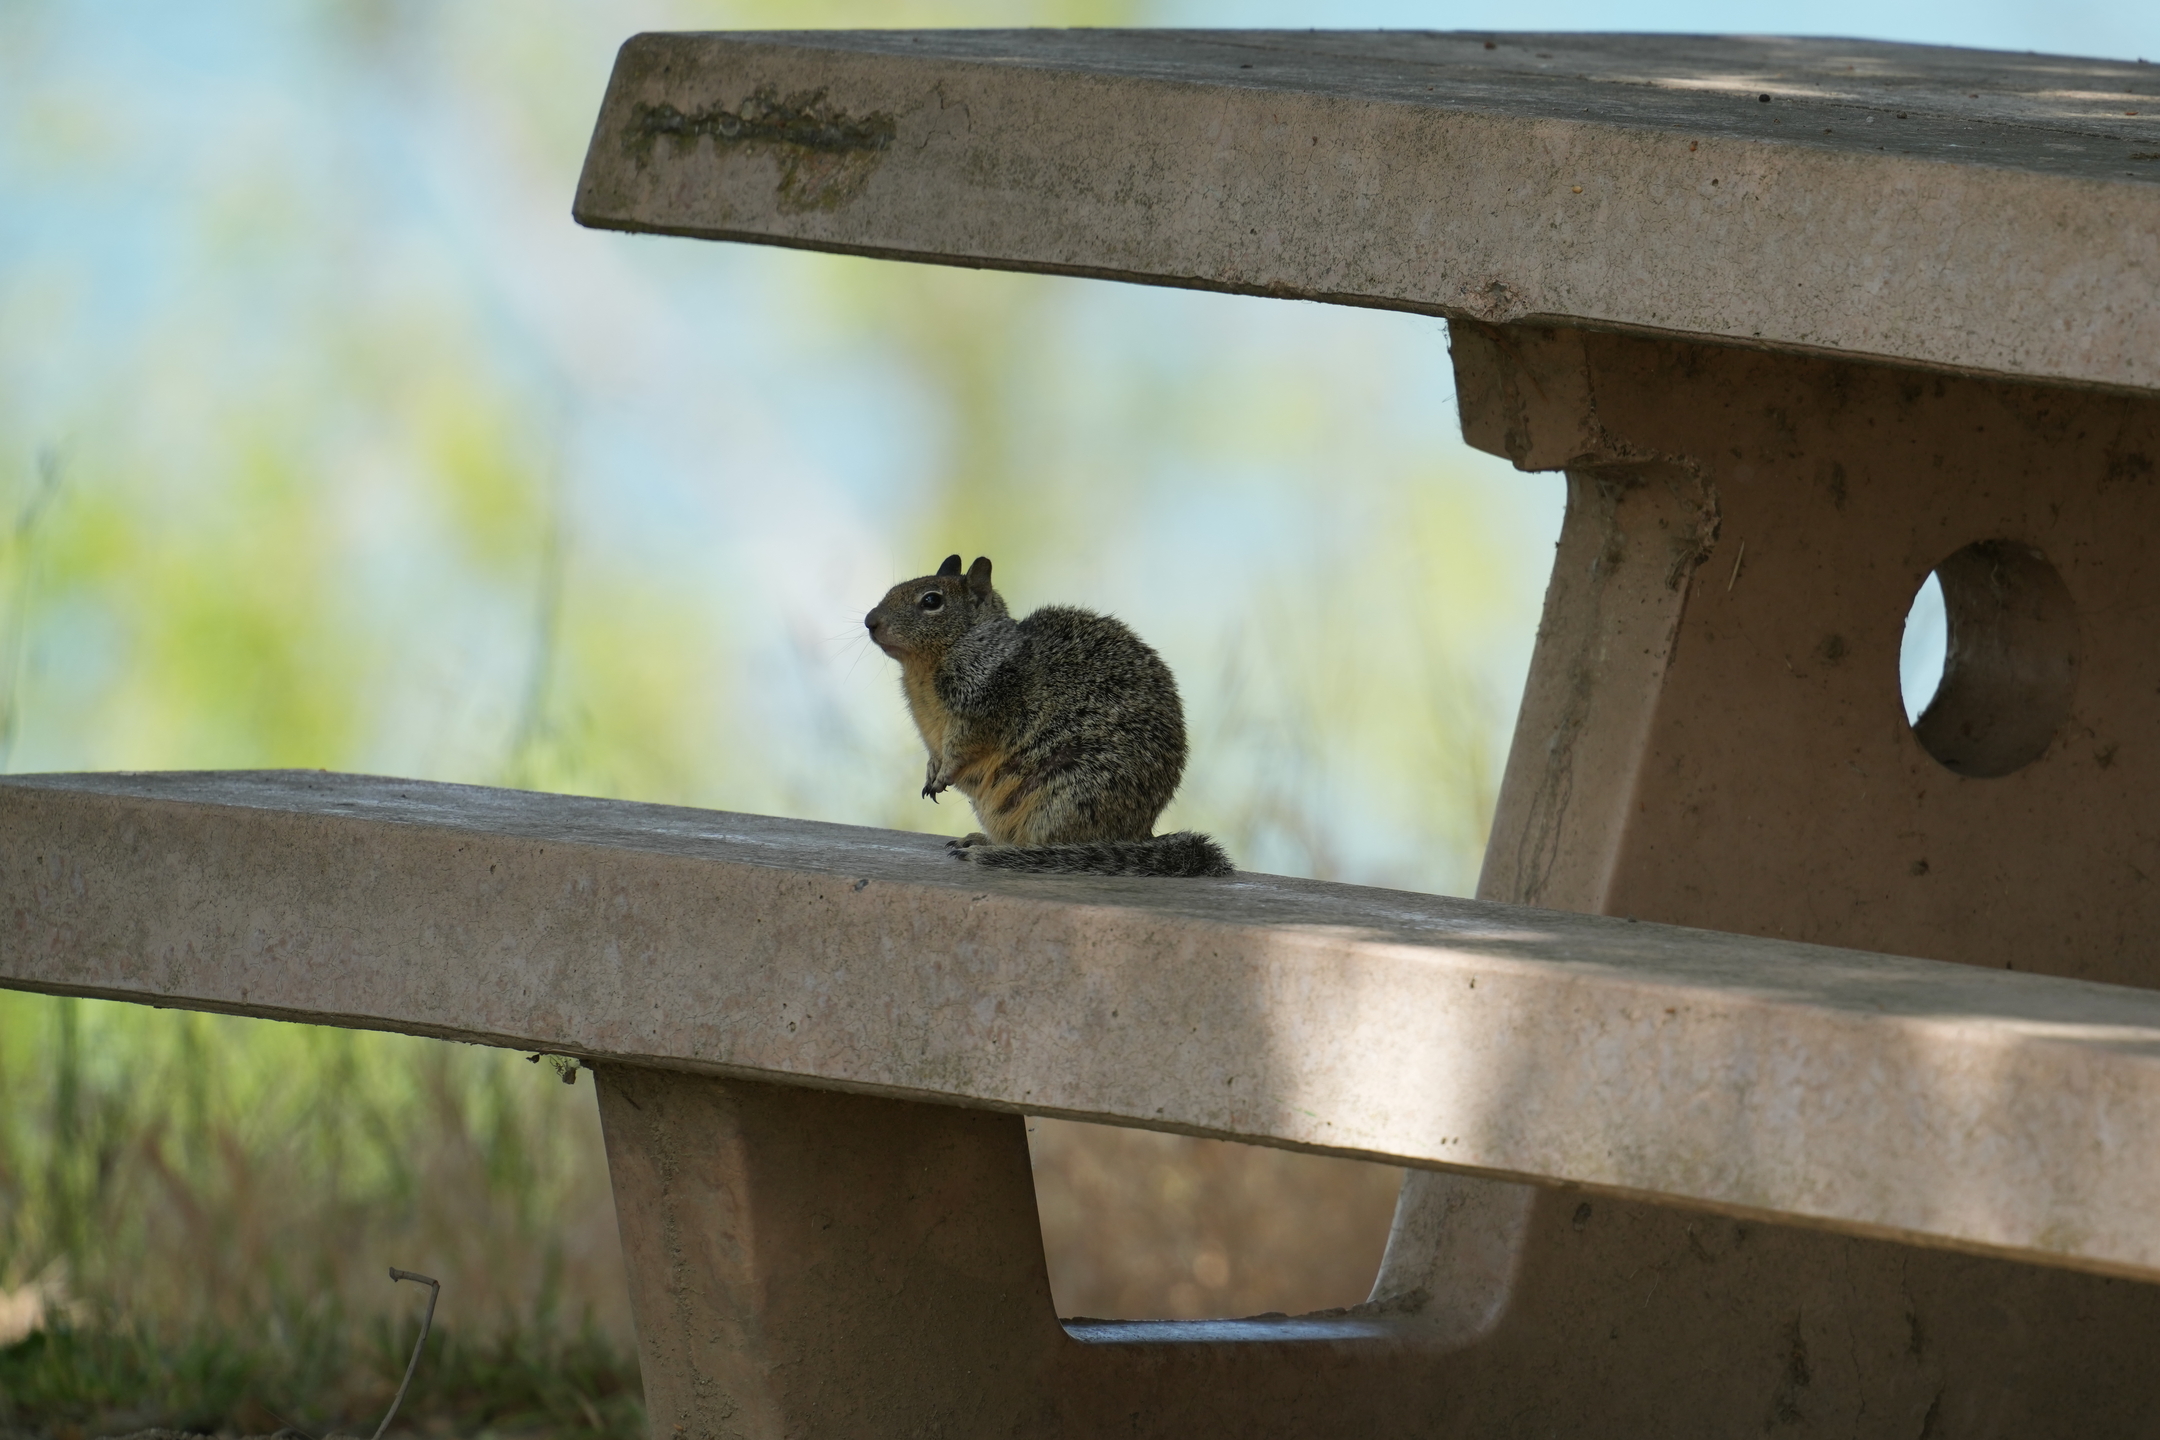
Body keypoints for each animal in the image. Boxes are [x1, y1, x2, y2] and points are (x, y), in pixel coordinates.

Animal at [863, 554, 1233, 878]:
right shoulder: (931, 730)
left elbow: (962, 748)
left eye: (931, 601)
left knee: (1048, 845)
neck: (923, 672)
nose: (870, 622)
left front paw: (943, 775)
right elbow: (935, 752)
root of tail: (1138, 833)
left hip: (1066, 796)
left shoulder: (986, 710)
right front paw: (931, 772)